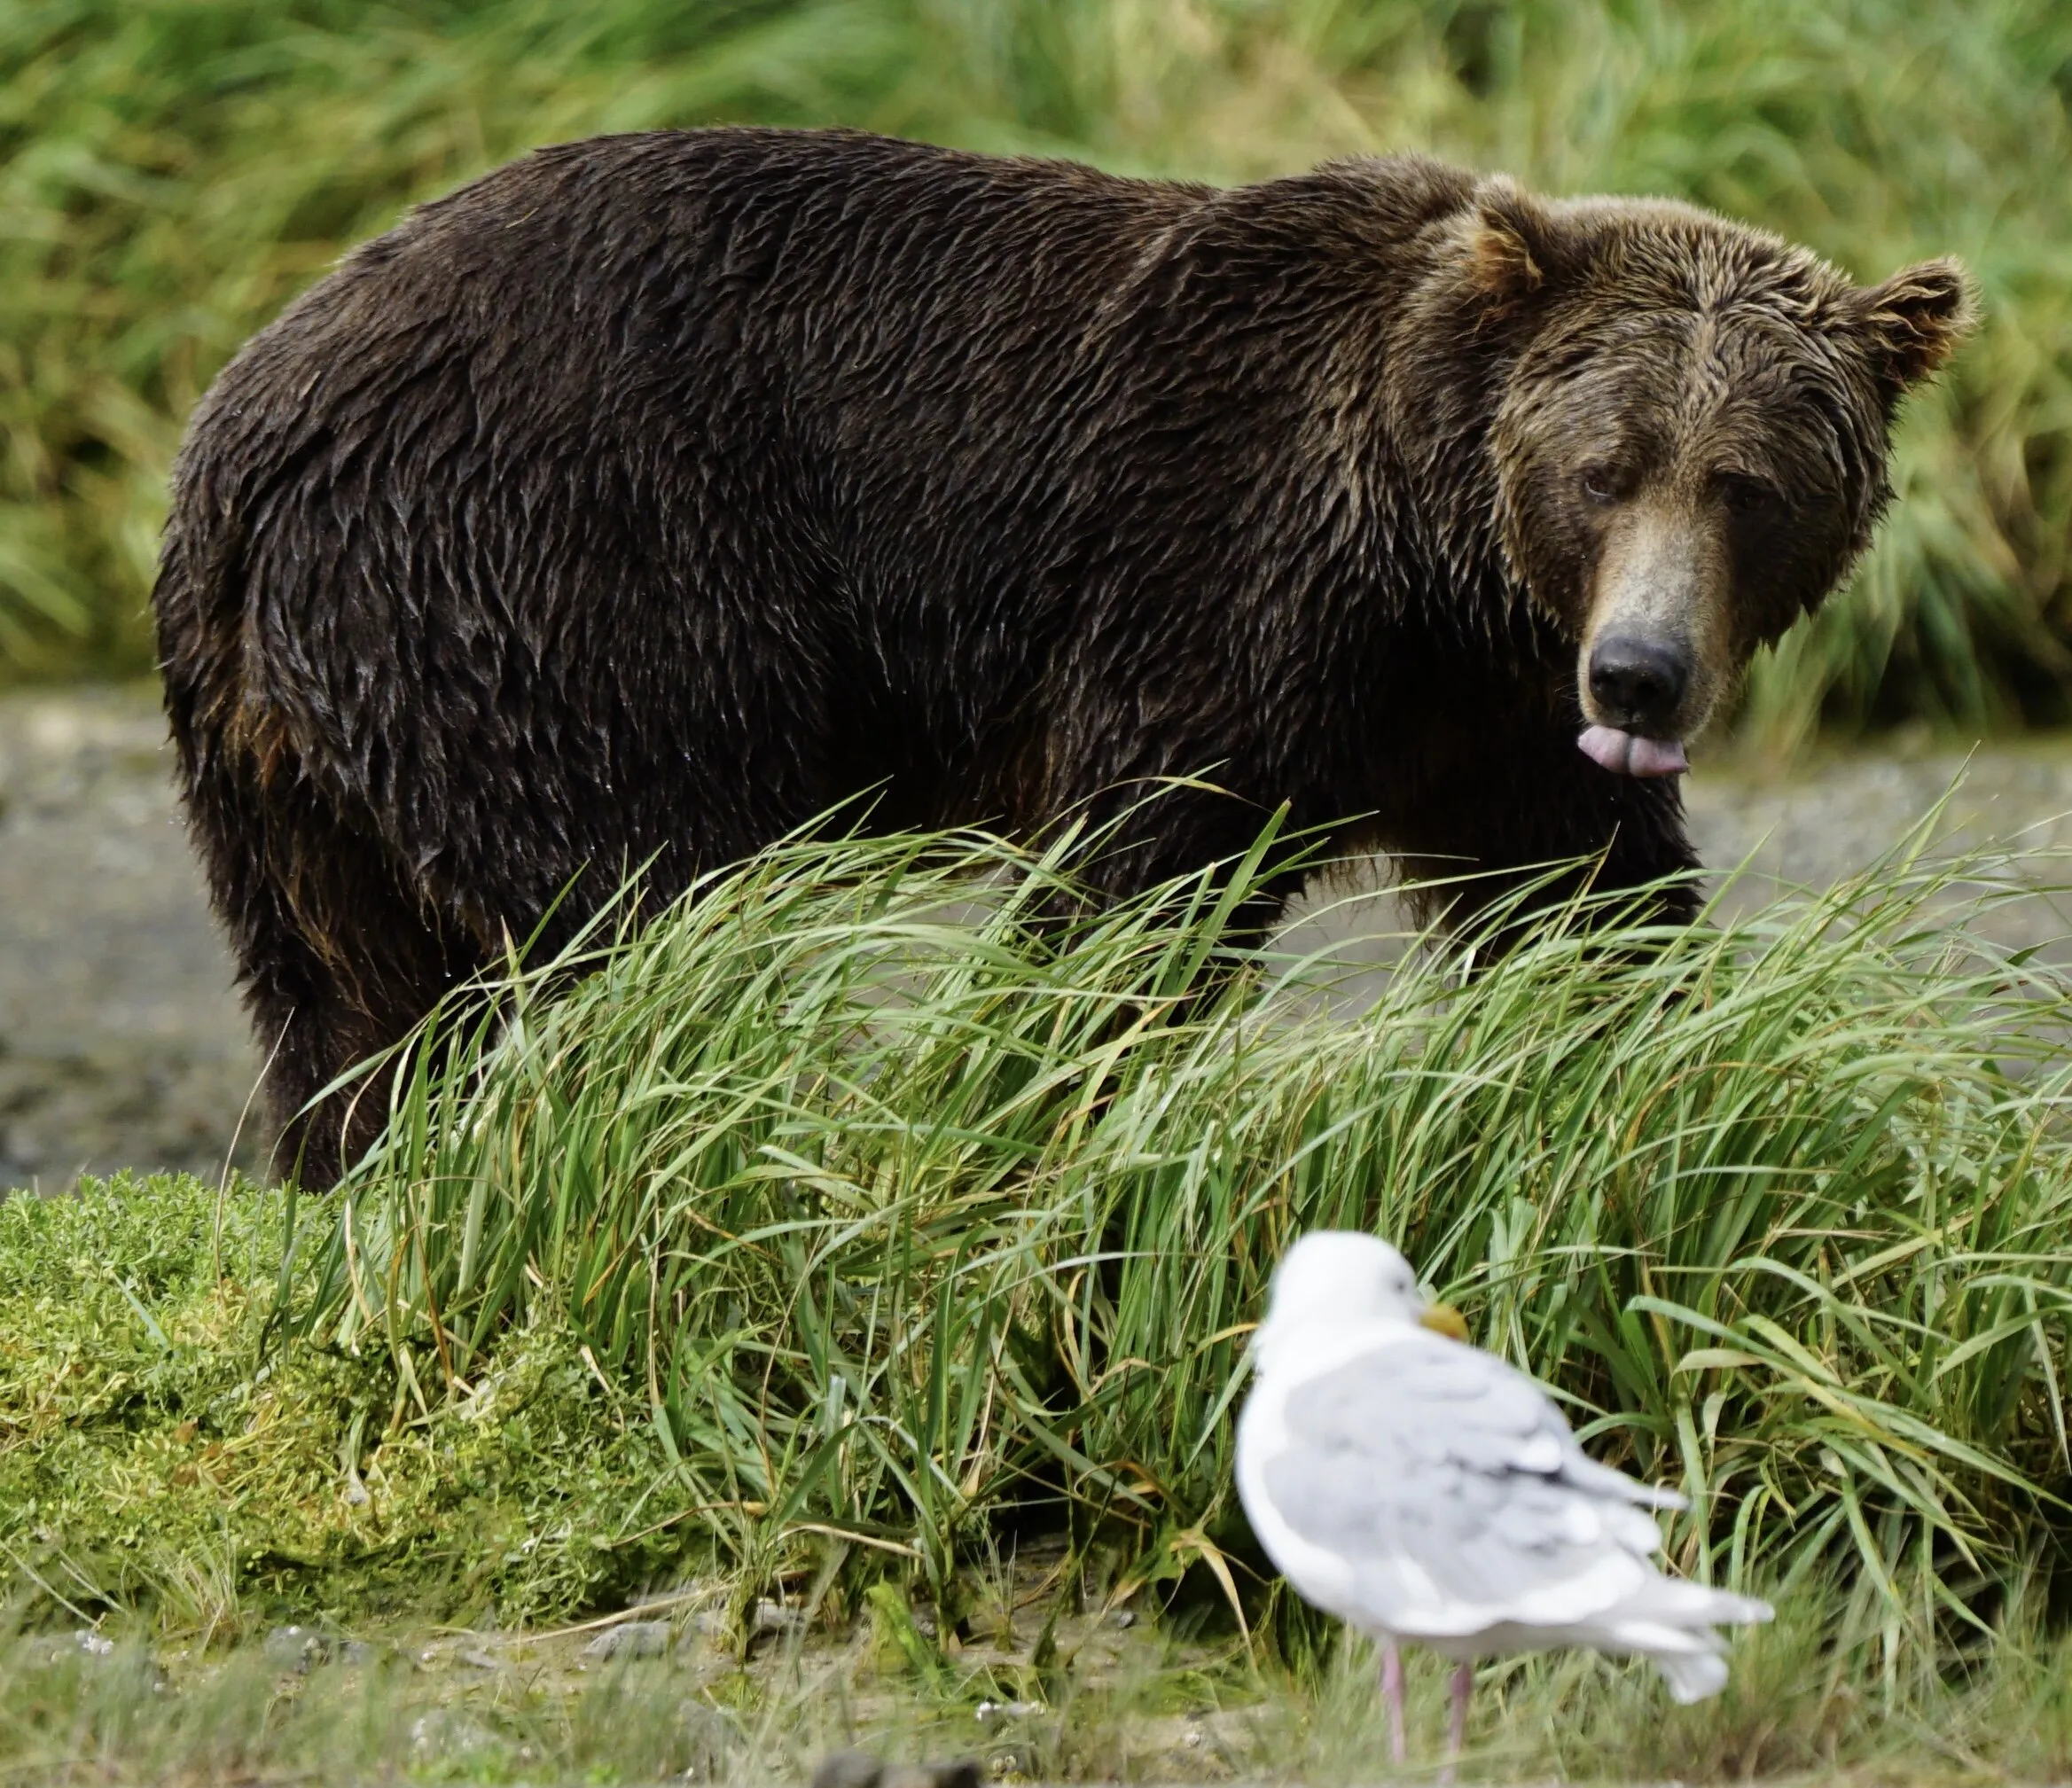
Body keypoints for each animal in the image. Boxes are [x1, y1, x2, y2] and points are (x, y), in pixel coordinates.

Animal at [153, 128, 1970, 1185]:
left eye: (1750, 484)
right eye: (1607, 465)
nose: (1643, 675)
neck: (1426, 559)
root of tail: (239, 432)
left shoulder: (1488, 718)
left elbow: (1588, 910)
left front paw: (1712, 1104)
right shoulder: (1223, 572)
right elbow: (1137, 878)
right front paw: (1031, 1100)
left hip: (297, 755)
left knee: (351, 1003)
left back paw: (378, 1172)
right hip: (559, 577)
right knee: (641, 912)